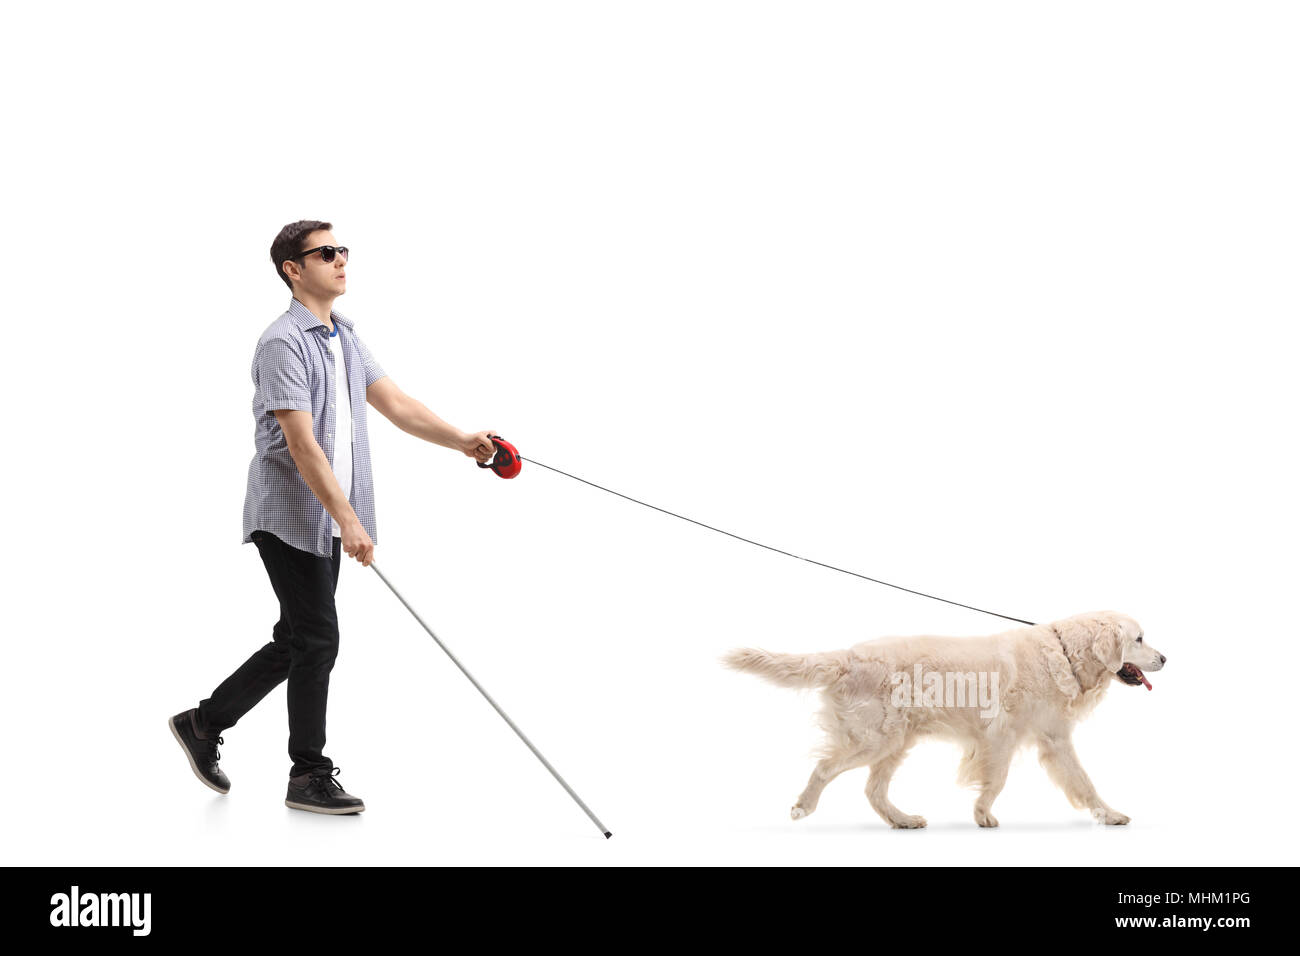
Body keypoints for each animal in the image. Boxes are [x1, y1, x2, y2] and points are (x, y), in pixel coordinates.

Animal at [722, 613, 1170, 832]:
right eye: (1139, 639)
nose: (1165, 658)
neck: (1063, 653)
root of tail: (847, 656)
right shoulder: (1001, 736)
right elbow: (997, 780)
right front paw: (983, 814)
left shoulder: (1054, 739)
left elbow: (1084, 783)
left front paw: (1110, 815)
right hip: (876, 739)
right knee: (823, 767)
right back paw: (803, 806)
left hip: (895, 743)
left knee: (873, 790)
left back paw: (903, 820)